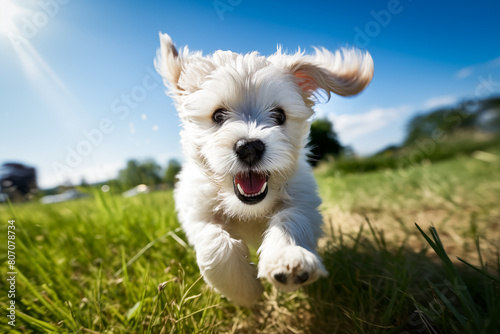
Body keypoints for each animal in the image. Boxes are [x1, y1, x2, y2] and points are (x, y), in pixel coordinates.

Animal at [154, 32, 374, 306]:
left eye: (279, 116)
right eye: (218, 116)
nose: (249, 147)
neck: (249, 209)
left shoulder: (301, 201)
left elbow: (289, 221)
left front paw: (289, 258)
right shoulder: (197, 211)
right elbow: (214, 243)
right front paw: (245, 291)